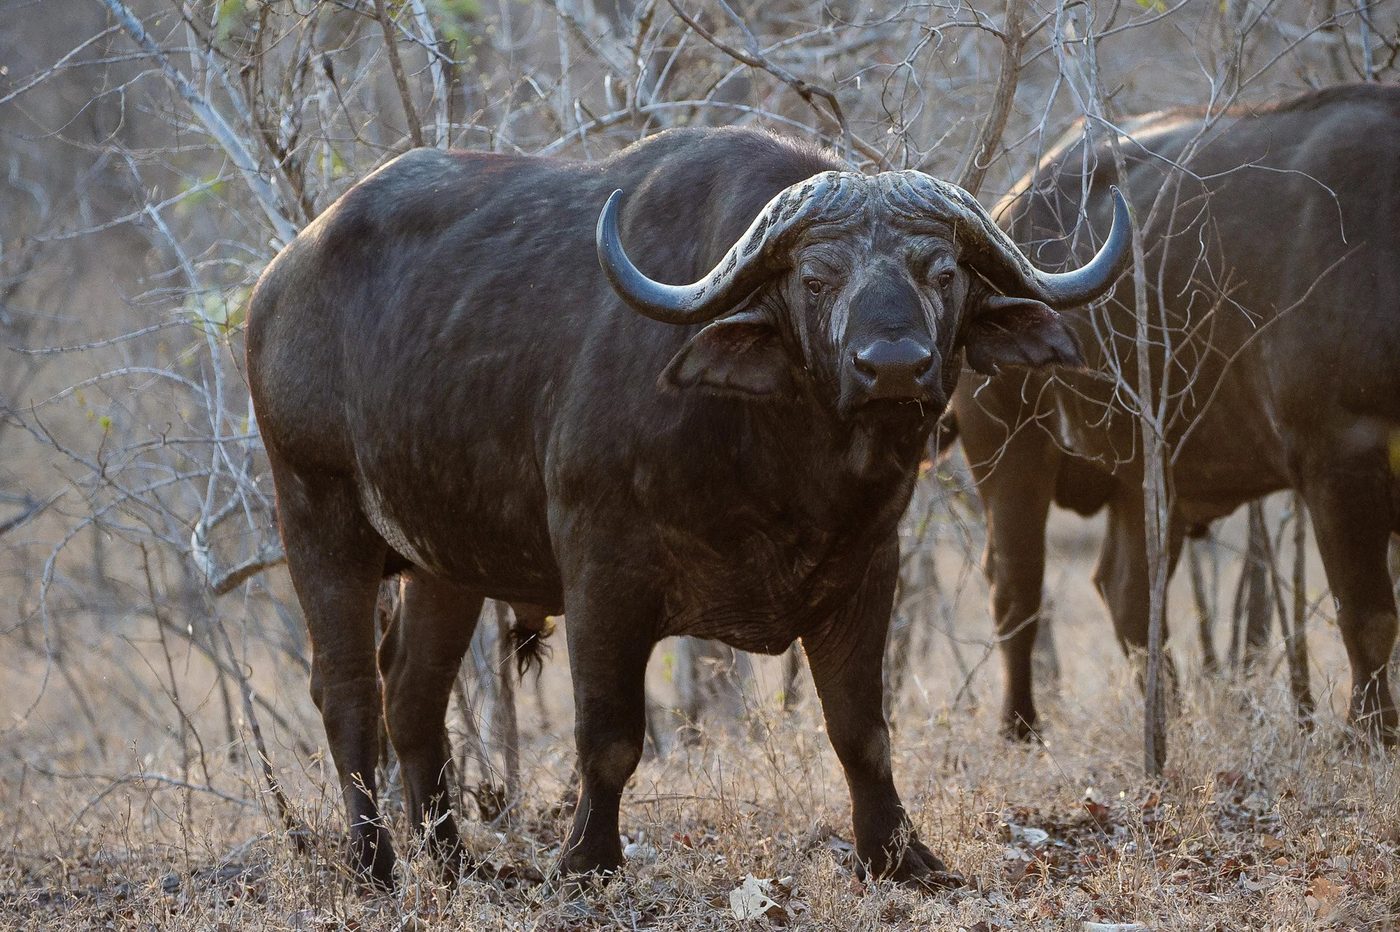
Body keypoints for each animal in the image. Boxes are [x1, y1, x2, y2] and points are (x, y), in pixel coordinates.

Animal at [245, 126, 1129, 890]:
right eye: (817, 278)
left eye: (941, 273)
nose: (892, 366)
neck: (787, 458)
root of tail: (279, 281)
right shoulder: (602, 575)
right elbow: (609, 737)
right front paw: (587, 863)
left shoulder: (868, 570)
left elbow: (862, 732)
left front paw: (900, 858)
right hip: (318, 515)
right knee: (349, 693)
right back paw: (375, 866)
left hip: (445, 564)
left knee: (413, 693)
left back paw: (457, 864)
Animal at [951, 84, 1400, 745]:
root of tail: (1006, 210)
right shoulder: (1338, 461)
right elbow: (1367, 617)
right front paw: (1372, 737)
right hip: (1008, 450)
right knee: (1016, 588)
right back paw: (1020, 730)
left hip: (1144, 478)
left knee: (1128, 593)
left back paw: (1170, 719)